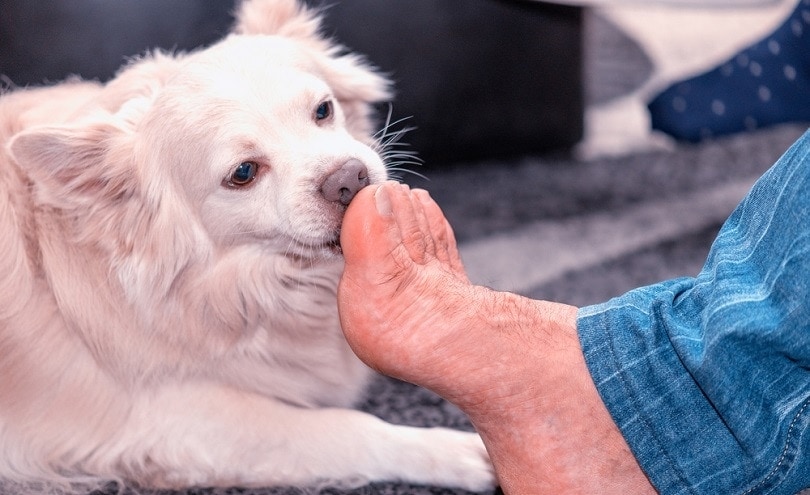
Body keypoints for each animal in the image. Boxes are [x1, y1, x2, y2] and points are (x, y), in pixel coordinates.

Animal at [0, 1, 492, 494]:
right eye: (243, 173)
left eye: (323, 110)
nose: (348, 178)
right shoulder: (176, 423)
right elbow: (348, 428)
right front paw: (454, 452)